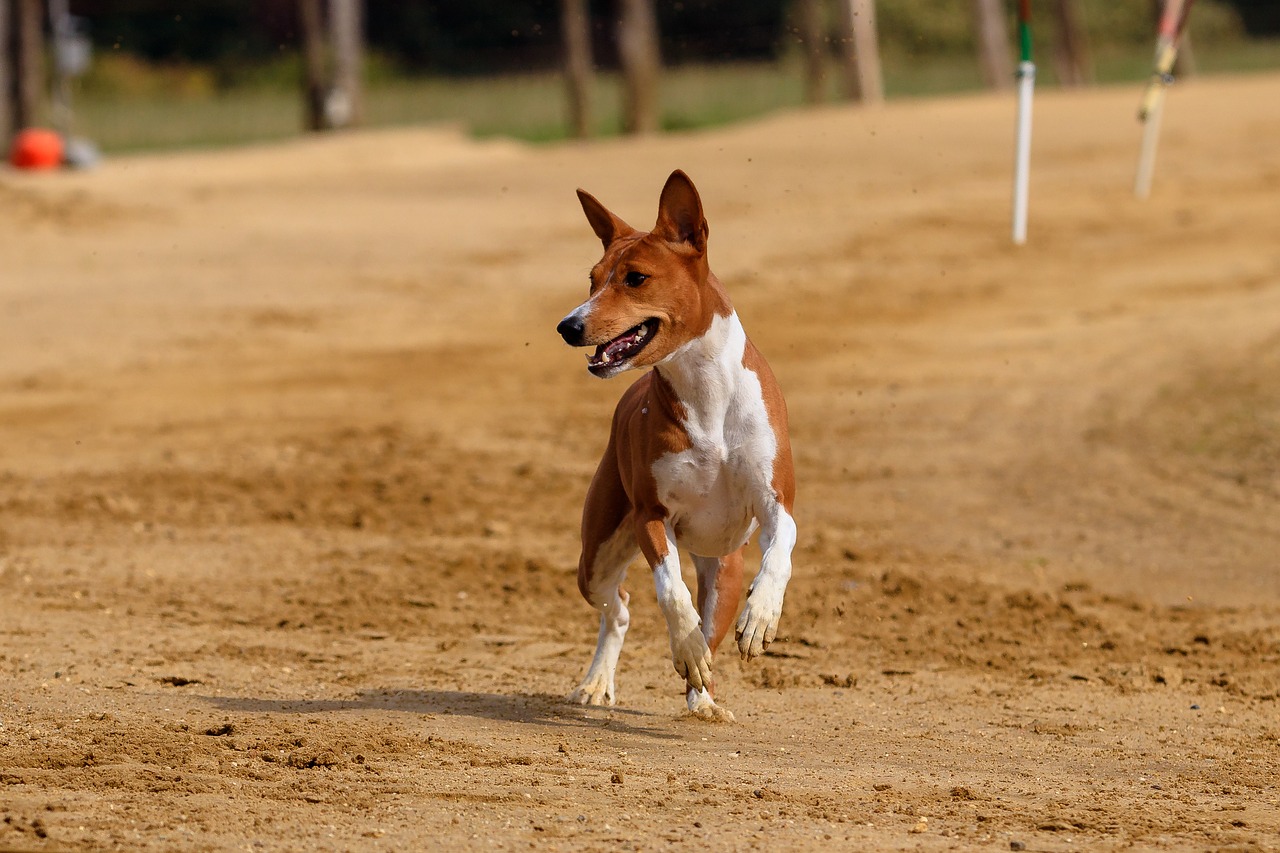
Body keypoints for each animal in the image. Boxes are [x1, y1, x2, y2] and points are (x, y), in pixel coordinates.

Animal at [555, 167, 793, 717]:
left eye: (635, 278)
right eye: (593, 279)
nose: (568, 325)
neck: (707, 394)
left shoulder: (776, 501)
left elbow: (781, 551)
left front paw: (762, 615)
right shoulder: (651, 515)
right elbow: (670, 590)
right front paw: (684, 645)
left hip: (724, 571)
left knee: (711, 627)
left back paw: (704, 701)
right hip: (595, 558)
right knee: (619, 608)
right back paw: (598, 683)